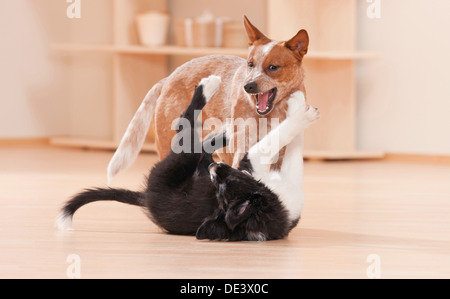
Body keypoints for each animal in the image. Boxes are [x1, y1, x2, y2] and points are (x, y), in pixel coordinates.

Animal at [58, 75, 320, 241]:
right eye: (221, 185)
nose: (216, 168)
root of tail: (146, 195)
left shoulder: (290, 186)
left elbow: (293, 147)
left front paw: (298, 106)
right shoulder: (254, 160)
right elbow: (279, 137)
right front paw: (301, 110)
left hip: (190, 159)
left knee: (196, 141)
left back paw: (224, 129)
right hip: (181, 161)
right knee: (187, 128)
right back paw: (210, 89)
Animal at [107, 16, 310, 183]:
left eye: (273, 67)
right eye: (250, 64)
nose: (248, 86)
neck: (271, 113)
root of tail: (168, 78)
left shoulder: (280, 151)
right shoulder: (242, 142)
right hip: (170, 143)